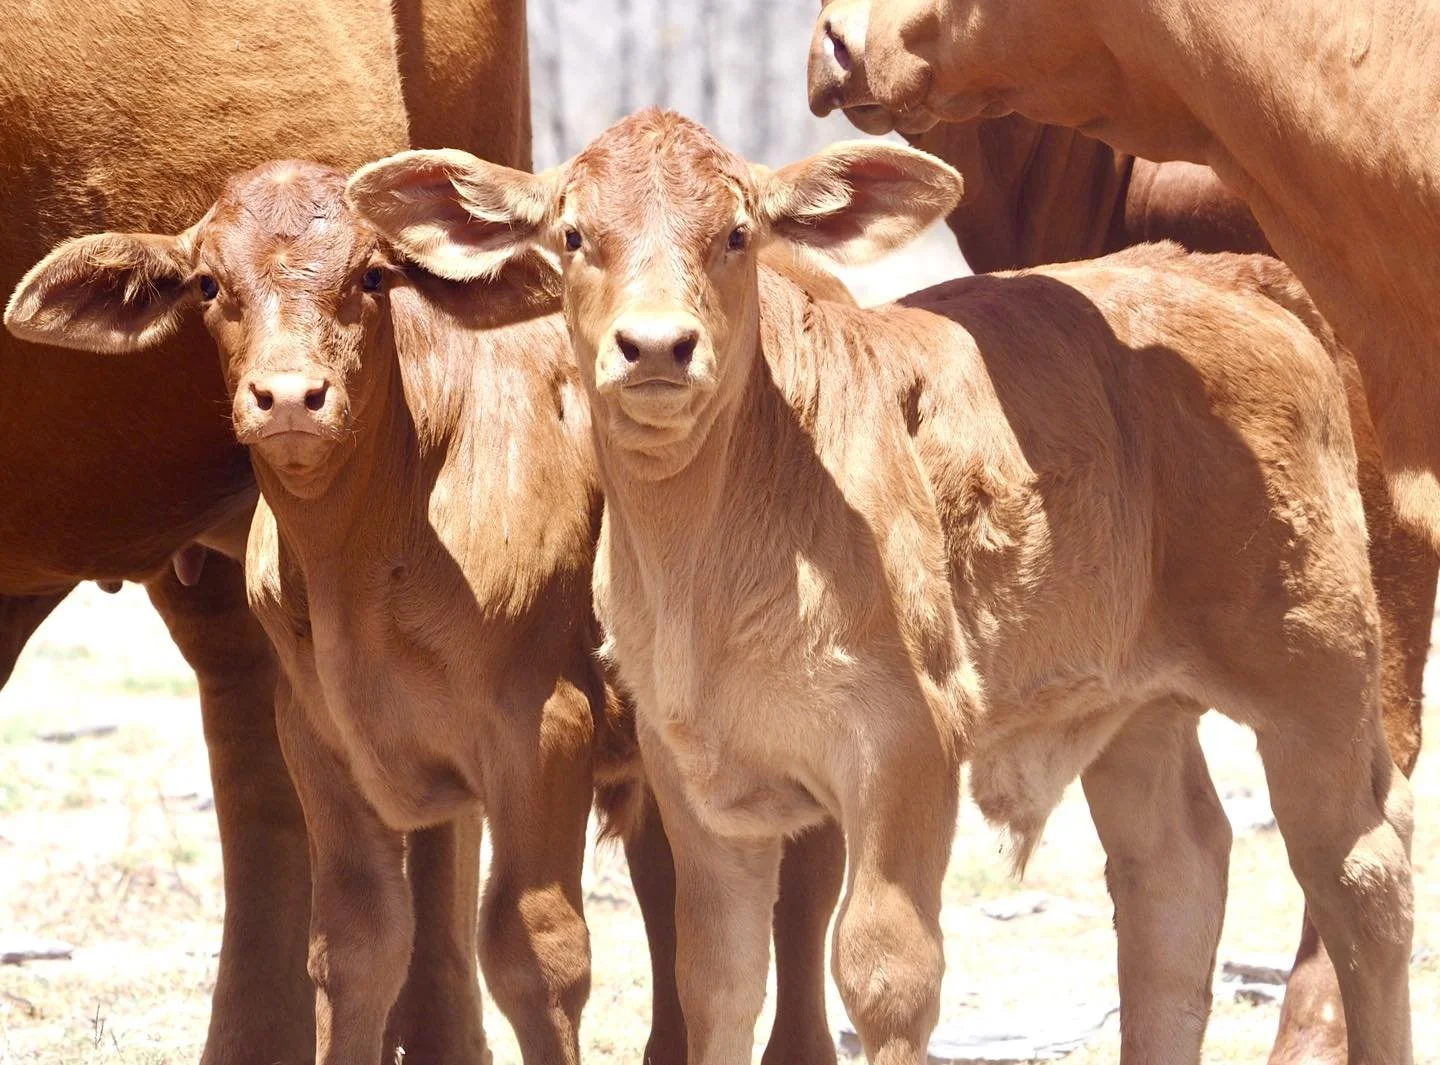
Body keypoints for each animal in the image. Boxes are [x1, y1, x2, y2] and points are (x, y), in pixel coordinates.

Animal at [5, 159, 856, 1065]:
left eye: (372, 276)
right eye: (209, 284)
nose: (290, 397)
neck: (366, 560)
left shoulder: (545, 728)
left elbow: (534, 952)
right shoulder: (318, 737)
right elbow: (358, 945)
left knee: (803, 894)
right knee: (671, 886)